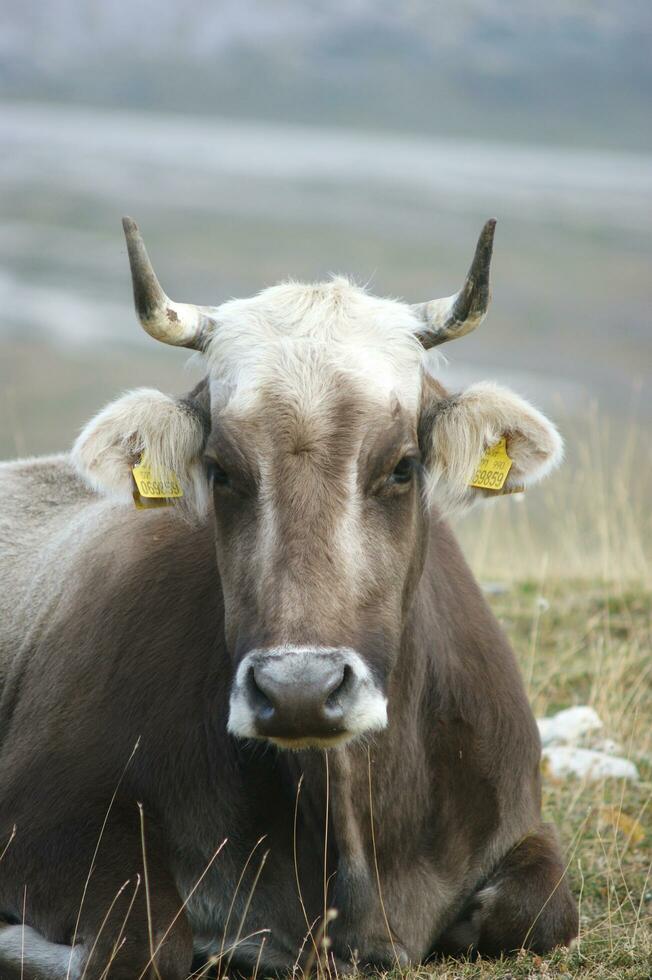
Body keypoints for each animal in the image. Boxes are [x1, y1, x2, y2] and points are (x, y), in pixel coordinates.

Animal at [0, 218, 580, 976]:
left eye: (403, 465)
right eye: (219, 470)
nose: (299, 690)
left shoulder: (519, 822)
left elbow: (543, 908)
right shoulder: (43, 813)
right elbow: (148, 942)